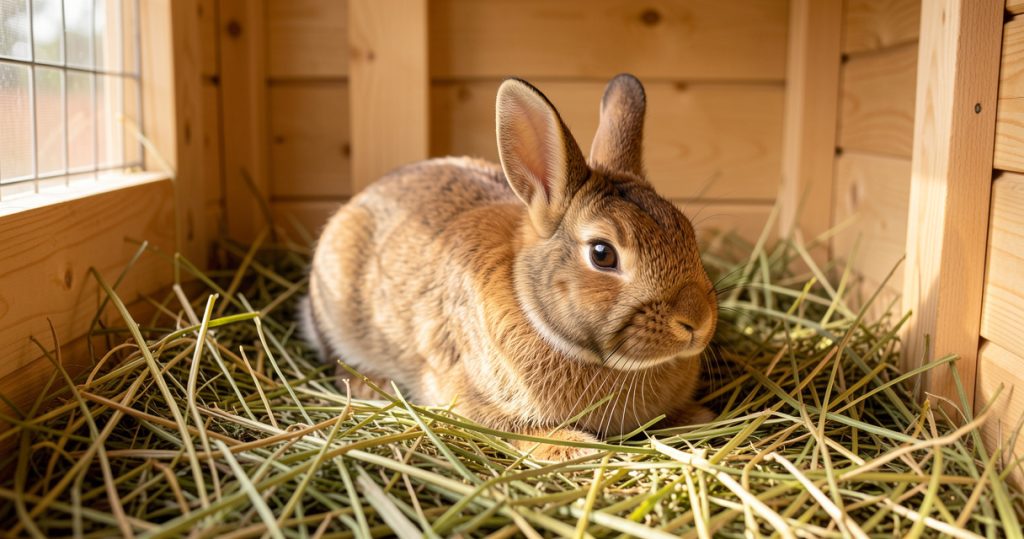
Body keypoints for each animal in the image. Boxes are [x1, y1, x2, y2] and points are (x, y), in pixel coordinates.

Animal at [301, 74, 718, 461]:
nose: (696, 322)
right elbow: (523, 431)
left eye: (687, 230)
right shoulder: (477, 401)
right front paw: (575, 449)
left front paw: (700, 418)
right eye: (602, 254)